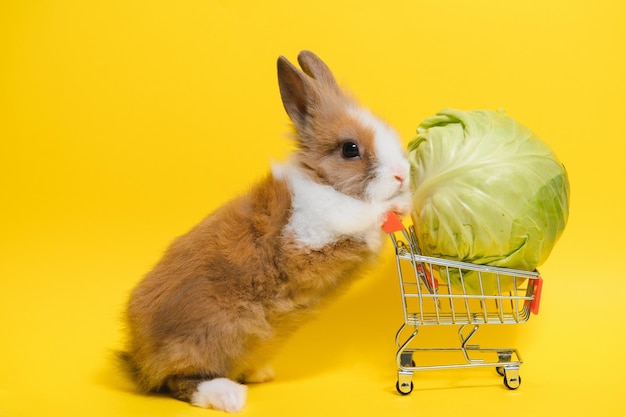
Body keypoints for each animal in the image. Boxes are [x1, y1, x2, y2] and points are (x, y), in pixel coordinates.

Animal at [119, 50, 412, 412]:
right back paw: (228, 396)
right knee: (180, 381)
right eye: (350, 149)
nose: (402, 174)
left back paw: (258, 373)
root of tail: (139, 357)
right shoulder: (302, 244)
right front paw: (399, 205)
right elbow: (362, 217)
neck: (323, 183)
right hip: (212, 333)